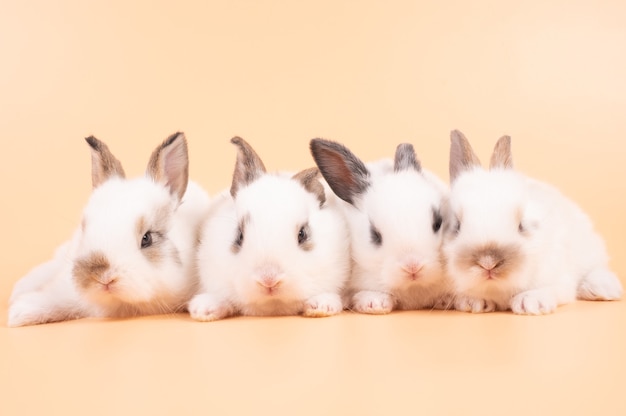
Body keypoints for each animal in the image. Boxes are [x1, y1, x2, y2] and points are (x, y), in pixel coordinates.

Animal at [442, 130, 620, 316]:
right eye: (457, 226)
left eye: (521, 225)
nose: (488, 262)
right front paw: (474, 302)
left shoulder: (559, 280)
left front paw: (530, 303)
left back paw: (603, 288)